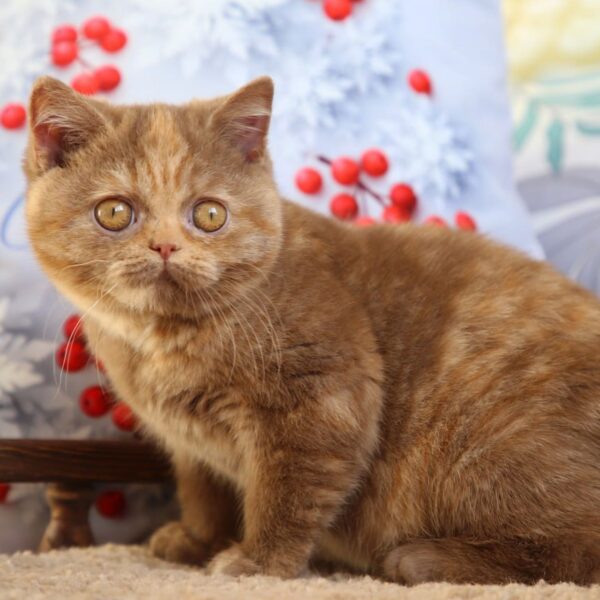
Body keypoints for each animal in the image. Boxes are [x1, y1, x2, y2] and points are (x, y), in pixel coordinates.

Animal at [23, 76, 600, 584]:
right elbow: (203, 491)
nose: (165, 246)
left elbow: (285, 492)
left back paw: (424, 560)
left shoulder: (320, 397)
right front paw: (195, 540)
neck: (166, 343)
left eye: (209, 214)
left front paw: (257, 562)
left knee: (575, 552)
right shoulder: (190, 445)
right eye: (114, 212)